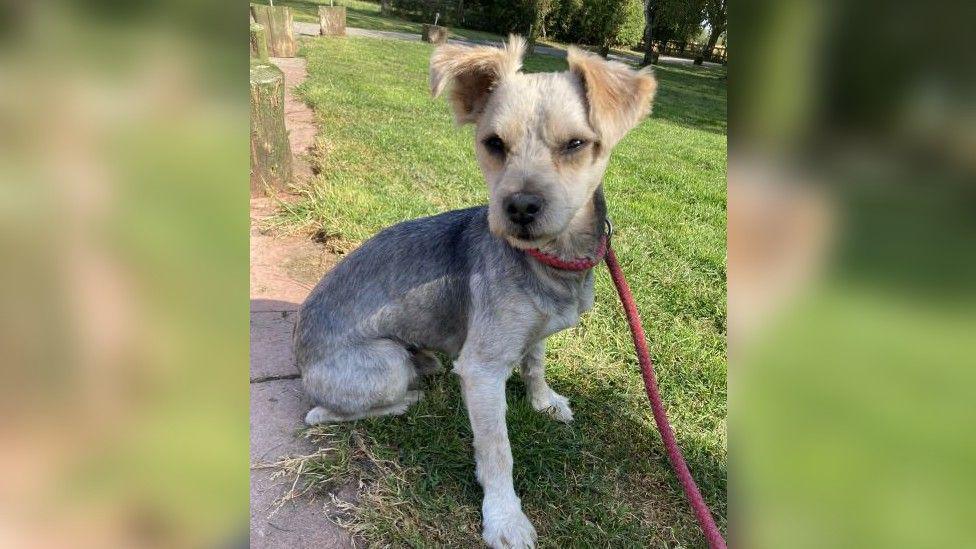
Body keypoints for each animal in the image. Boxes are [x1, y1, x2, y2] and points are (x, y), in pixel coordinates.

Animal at [290, 36, 656, 544]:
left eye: (577, 144)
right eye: (494, 144)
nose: (519, 206)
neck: (549, 260)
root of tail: (299, 353)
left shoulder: (531, 332)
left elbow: (535, 363)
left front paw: (544, 402)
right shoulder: (482, 371)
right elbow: (498, 449)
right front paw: (504, 517)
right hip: (384, 365)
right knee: (322, 413)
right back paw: (406, 399)